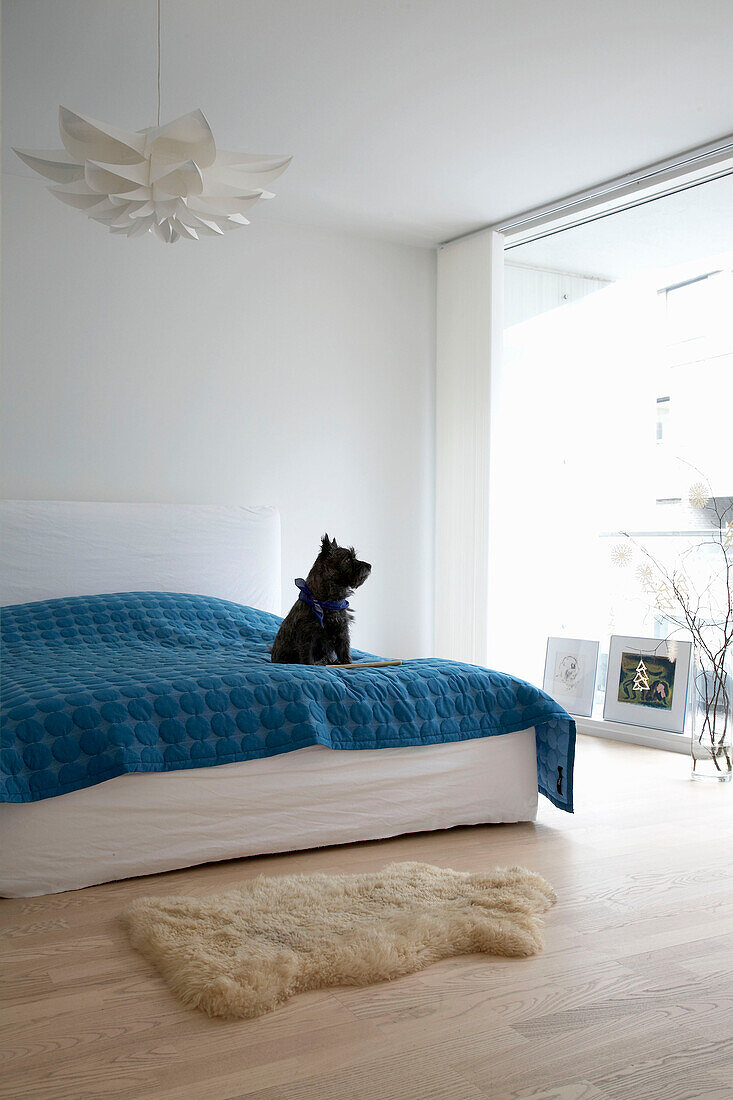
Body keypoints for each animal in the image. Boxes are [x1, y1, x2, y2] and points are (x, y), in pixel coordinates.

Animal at [269, 530, 372, 660]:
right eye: (347, 560)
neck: (325, 600)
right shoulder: (308, 635)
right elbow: (307, 656)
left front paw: (346, 662)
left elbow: (344, 653)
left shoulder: (342, 632)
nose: (369, 566)